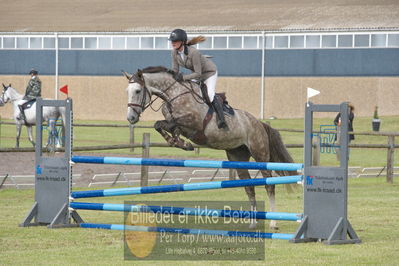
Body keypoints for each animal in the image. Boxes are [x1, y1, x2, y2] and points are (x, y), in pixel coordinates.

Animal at [123, 66, 298, 229]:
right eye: (127, 91)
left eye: (137, 90)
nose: (131, 118)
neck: (174, 94)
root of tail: (259, 123)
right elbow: (160, 125)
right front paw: (178, 142)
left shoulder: (192, 123)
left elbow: (167, 124)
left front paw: (182, 143)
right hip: (238, 157)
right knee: (249, 187)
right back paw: (253, 222)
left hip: (259, 154)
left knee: (269, 185)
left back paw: (273, 222)